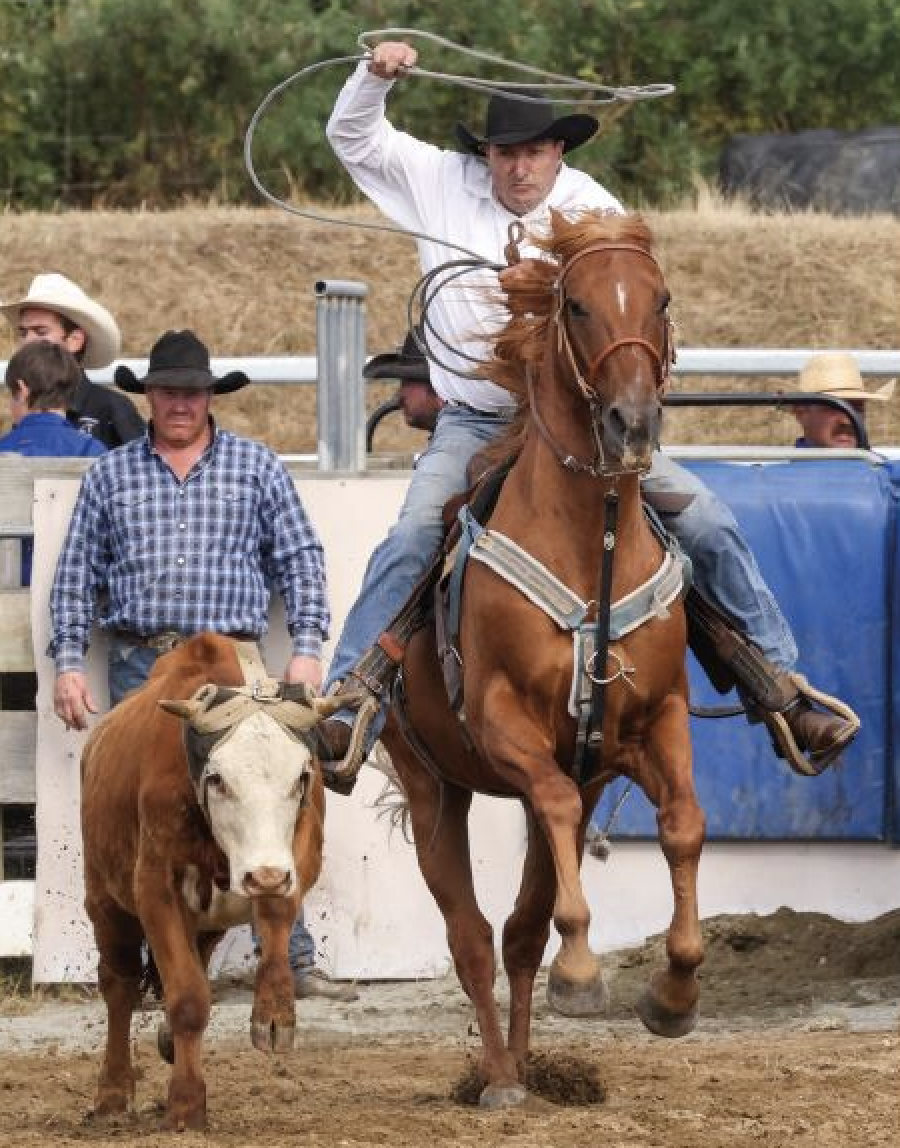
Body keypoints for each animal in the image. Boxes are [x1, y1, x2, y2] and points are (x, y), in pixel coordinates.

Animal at [378, 211, 702, 1106]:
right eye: (579, 306)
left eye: (661, 299)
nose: (633, 425)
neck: (593, 541)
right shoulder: (502, 723)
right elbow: (551, 822)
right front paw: (584, 975)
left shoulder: (651, 722)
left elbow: (684, 825)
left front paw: (674, 993)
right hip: (432, 786)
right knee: (471, 938)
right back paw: (498, 1077)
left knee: (521, 931)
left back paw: (525, 1062)